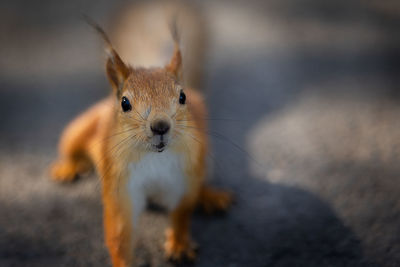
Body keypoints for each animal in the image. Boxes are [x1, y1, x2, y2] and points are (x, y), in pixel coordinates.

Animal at [48, 4, 233, 267]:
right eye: (125, 103)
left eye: (183, 96)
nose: (160, 126)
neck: (154, 157)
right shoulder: (120, 183)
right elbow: (119, 230)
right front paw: (123, 262)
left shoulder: (183, 177)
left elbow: (182, 212)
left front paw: (179, 244)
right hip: (81, 127)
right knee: (72, 145)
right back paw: (68, 167)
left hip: (203, 158)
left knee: (200, 183)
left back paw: (210, 195)